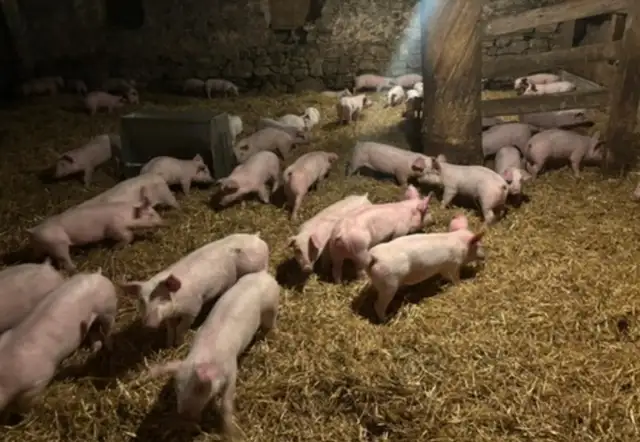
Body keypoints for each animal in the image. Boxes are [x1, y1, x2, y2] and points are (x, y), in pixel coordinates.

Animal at [0, 270, 118, 413]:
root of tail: (98, 275)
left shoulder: (39, 380)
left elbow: (27, 403)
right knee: (94, 333)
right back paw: (92, 350)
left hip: (108, 309)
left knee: (109, 328)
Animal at [27, 189, 164, 271]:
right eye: (151, 215)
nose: (163, 222)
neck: (129, 215)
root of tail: (33, 230)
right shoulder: (114, 228)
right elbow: (127, 236)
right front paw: (114, 248)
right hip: (58, 244)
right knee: (64, 259)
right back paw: (75, 267)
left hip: (39, 247)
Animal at [120, 233, 269, 347]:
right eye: (142, 301)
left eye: (163, 298)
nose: (149, 325)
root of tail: (257, 238)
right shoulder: (169, 316)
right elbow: (170, 329)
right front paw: (168, 345)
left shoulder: (193, 308)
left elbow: (181, 328)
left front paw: (178, 344)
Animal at [147, 271, 279, 431]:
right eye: (177, 389)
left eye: (199, 388)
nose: (184, 415)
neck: (204, 358)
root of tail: (264, 275)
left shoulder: (231, 368)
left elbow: (226, 402)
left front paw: (230, 431)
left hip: (271, 307)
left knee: (270, 324)